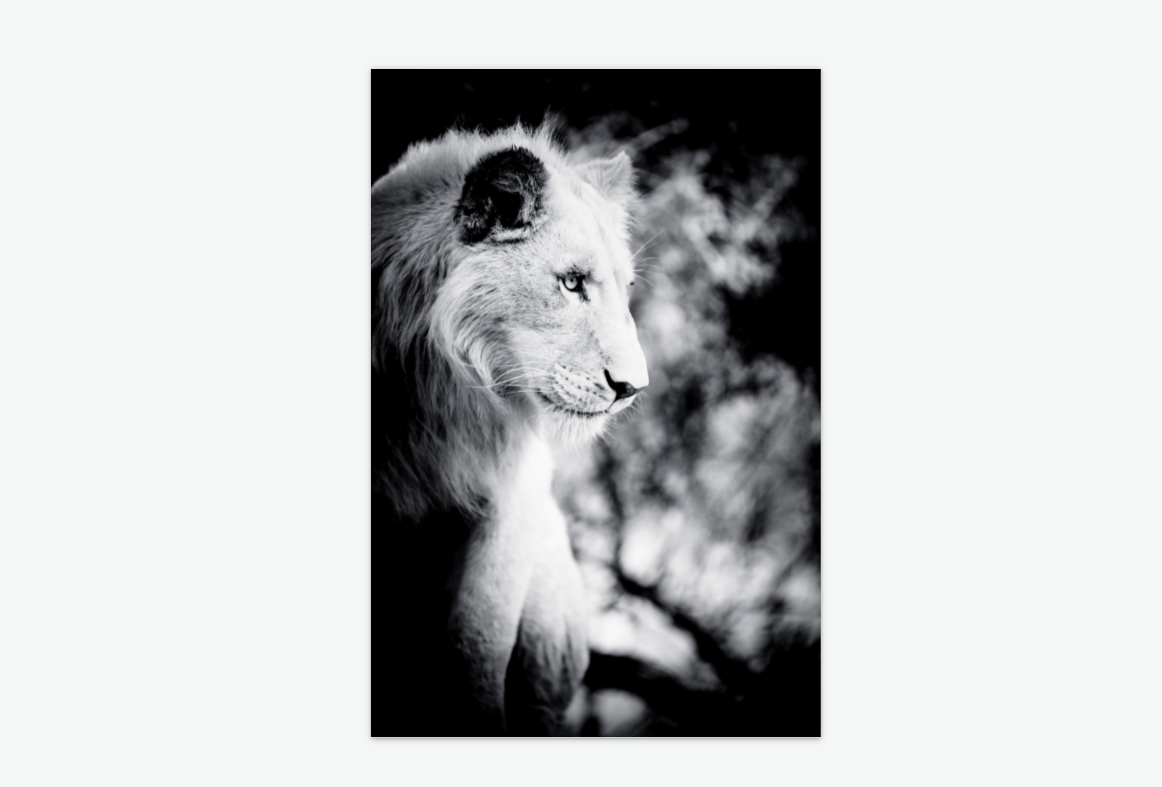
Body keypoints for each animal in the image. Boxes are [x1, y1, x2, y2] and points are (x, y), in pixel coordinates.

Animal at [370, 124, 647, 735]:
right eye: (571, 283)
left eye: (624, 290)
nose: (633, 388)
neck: (438, 395)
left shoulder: (514, 495)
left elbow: (477, 642)